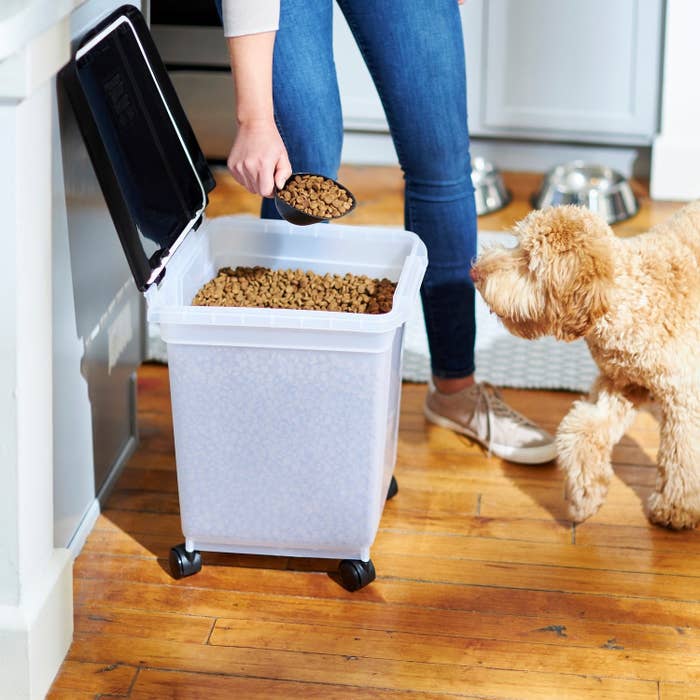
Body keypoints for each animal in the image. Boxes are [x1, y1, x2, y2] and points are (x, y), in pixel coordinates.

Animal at [470, 202, 700, 532]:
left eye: (528, 260)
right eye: (516, 244)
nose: (474, 271)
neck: (630, 299)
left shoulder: (683, 398)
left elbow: (682, 455)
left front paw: (676, 509)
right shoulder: (621, 383)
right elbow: (580, 430)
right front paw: (584, 496)